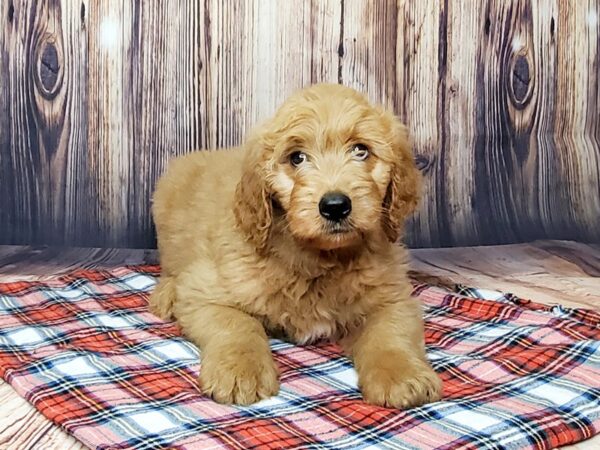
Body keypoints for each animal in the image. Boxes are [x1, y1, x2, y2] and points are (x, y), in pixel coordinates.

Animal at [150, 83, 440, 408]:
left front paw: (403, 377)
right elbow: (237, 325)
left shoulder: (393, 296)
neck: (319, 258)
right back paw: (166, 294)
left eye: (361, 150)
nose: (336, 206)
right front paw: (240, 371)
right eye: (297, 158)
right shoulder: (208, 290)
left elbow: (390, 333)